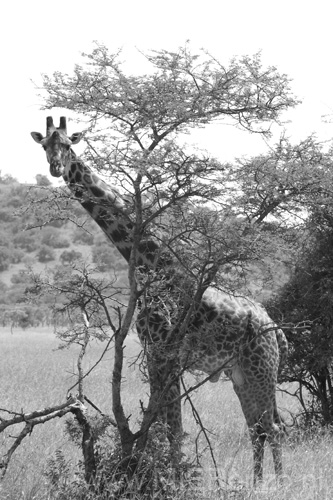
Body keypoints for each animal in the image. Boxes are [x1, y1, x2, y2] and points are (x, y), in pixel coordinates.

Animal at [29, 116, 286, 484]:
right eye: (44, 145)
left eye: (67, 144)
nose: (55, 167)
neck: (153, 263)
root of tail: (277, 329)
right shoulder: (155, 353)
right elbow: (163, 426)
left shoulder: (167, 354)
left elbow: (173, 428)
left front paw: (174, 482)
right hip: (241, 373)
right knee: (258, 428)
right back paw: (256, 484)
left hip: (261, 369)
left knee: (273, 428)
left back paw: (275, 486)